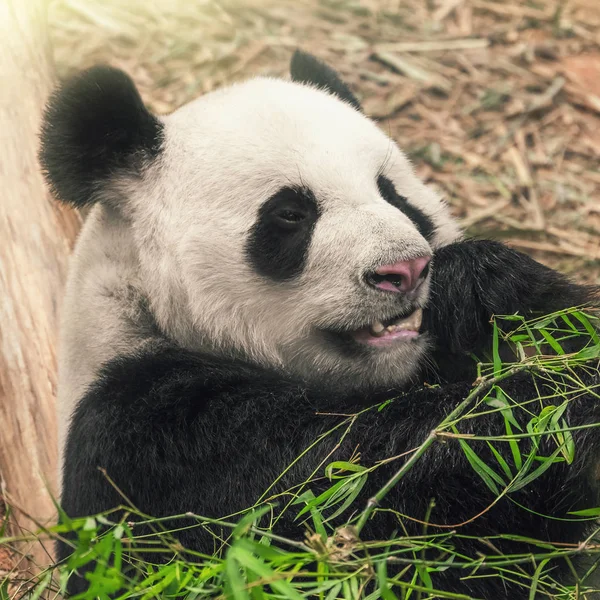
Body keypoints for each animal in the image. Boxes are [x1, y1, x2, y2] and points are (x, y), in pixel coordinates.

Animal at [39, 52, 596, 600]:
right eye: (290, 213)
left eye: (392, 193)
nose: (406, 269)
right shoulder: (158, 446)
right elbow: (357, 483)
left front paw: (479, 285)